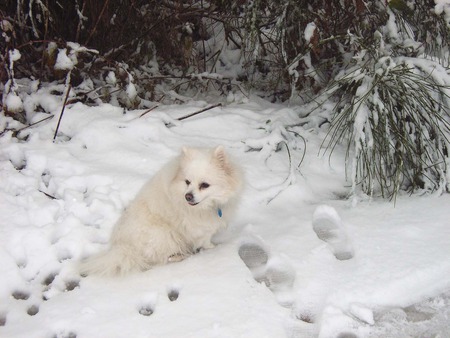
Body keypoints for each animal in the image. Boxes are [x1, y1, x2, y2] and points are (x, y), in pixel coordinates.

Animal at [80, 147, 243, 276]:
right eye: (187, 182)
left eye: (204, 185)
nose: (188, 196)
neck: (208, 206)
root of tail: (124, 247)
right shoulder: (197, 227)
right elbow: (205, 239)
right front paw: (212, 247)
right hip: (163, 235)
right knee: (159, 259)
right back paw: (179, 256)